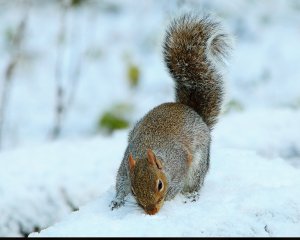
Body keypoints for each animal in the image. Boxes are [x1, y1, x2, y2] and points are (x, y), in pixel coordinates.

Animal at [109, 12, 231, 216]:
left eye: (160, 185)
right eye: (133, 190)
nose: (151, 212)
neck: (147, 151)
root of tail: (193, 111)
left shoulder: (180, 164)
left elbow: (177, 185)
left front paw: (168, 197)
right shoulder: (125, 167)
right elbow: (120, 181)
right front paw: (117, 200)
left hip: (198, 165)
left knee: (196, 183)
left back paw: (192, 195)